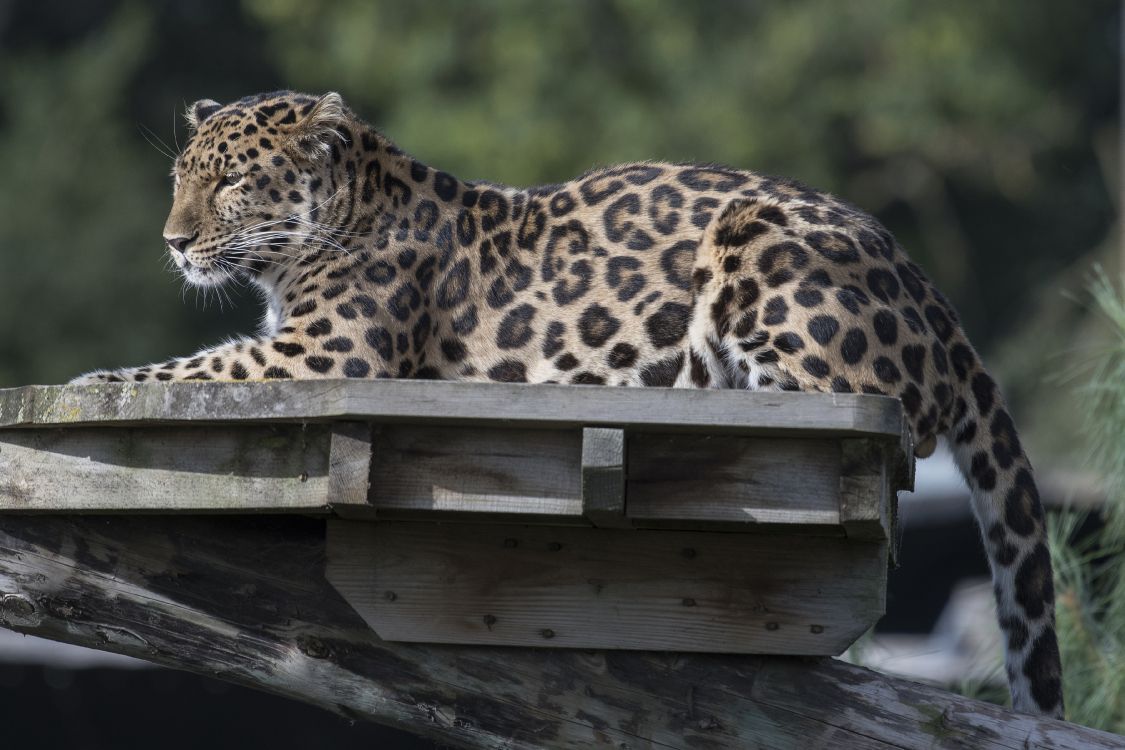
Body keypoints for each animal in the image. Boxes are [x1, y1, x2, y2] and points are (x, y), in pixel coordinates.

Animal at [72, 90, 1063, 717]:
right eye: (180, 177)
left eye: (232, 182)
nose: (174, 241)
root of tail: (934, 295)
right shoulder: (298, 343)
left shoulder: (327, 352)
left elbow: (196, 369)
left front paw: (92, 384)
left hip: (757, 242)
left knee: (844, 397)